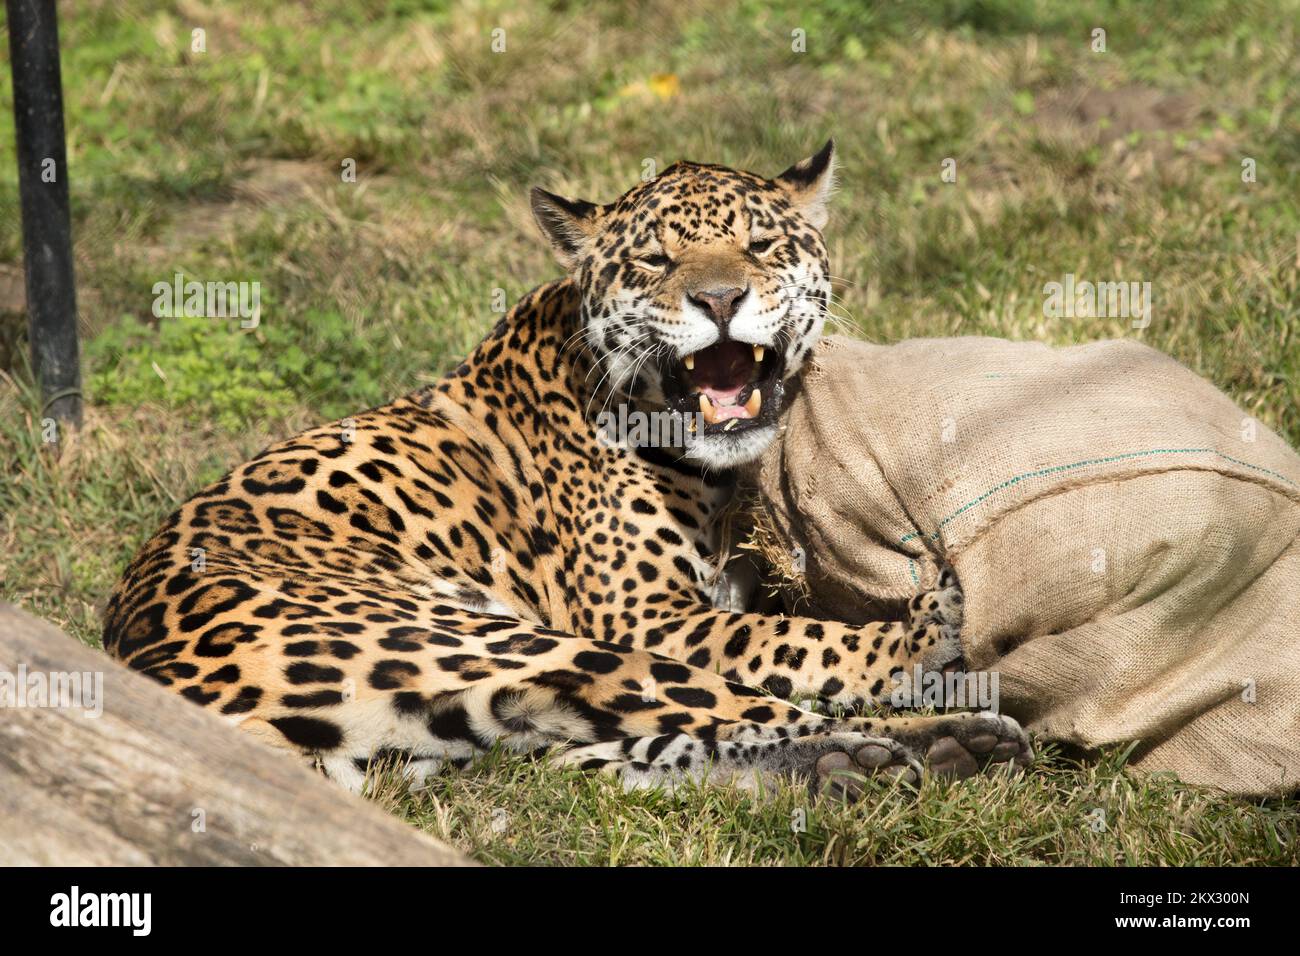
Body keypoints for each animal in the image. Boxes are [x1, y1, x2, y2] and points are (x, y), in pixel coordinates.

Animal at [103, 141, 1031, 798]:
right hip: (513, 645)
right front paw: (918, 631)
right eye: (657, 261)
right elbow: (793, 641)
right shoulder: (652, 618)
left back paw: (887, 758)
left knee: (615, 759)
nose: (720, 300)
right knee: (745, 714)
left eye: (761, 245)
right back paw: (928, 729)